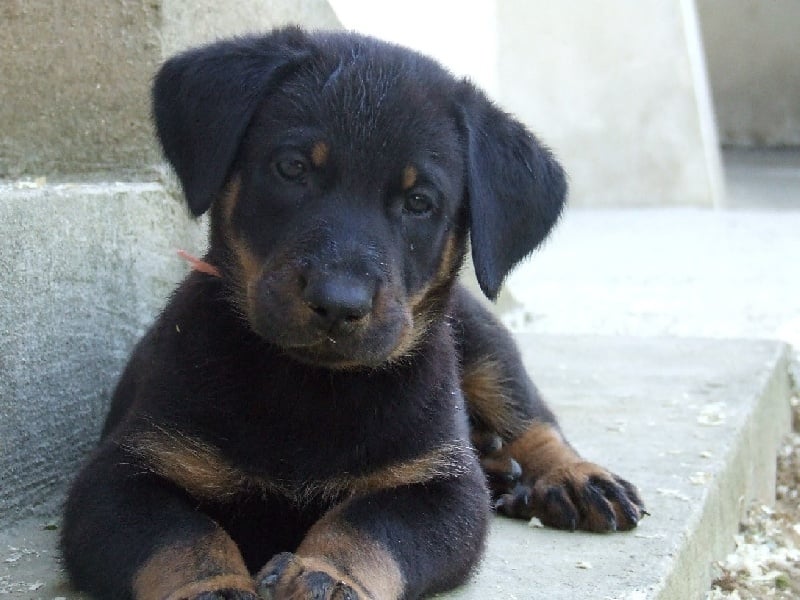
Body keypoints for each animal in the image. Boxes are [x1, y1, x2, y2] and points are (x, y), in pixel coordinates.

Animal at [61, 28, 644, 600]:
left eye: (419, 201)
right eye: (292, 168)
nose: (339, 302)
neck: (310, 386)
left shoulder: (441, 487)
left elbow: (368, 527)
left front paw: (326, 576)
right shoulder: (123, 474)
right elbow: (183, 539)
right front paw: (215, 590)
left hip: (482, 340)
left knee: (530, 414)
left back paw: (572, 477)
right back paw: (503, 468)